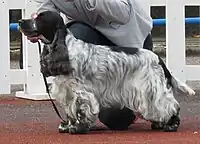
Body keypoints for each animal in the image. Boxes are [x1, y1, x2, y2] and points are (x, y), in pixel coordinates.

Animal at [18, 11, 195, 134]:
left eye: (40, 18)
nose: (20, 21)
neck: (66, 49)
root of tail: (158, 58)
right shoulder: (67, 92)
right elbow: (70, 112)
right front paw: (67, 126)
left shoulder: (81, 93)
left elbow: (81, 110)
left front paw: (78, 129)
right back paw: (159, 123)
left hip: (152, 89)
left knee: (170, 106)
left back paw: (170, 125)